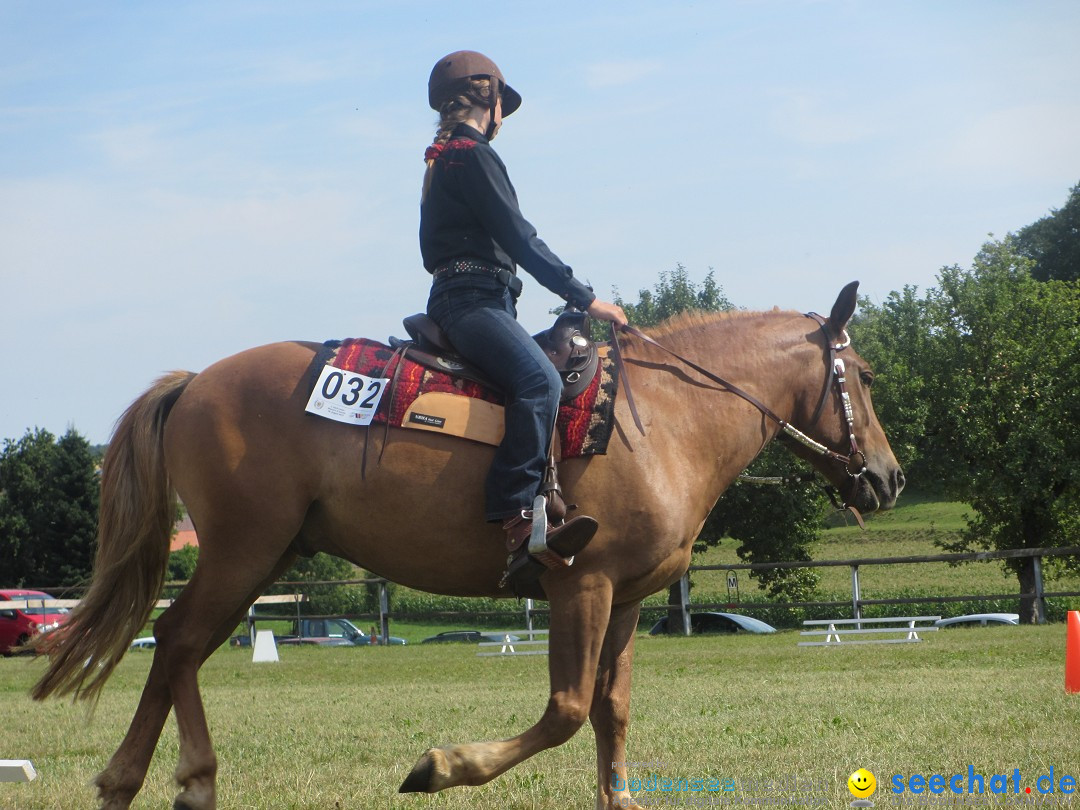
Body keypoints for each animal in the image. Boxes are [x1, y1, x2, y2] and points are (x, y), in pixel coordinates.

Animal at [29, 282, 902, 807]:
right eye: (860, 375)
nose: (889, 478)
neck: (662, 418)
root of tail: (195, 382)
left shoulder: (624, 599)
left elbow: (611, 712)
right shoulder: (578, 584)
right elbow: (565, 709)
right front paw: (441, 766)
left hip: (260, 559)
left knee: (179, 649)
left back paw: (144, 781)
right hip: (242, 552)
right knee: (178, 642)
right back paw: (176, 780)